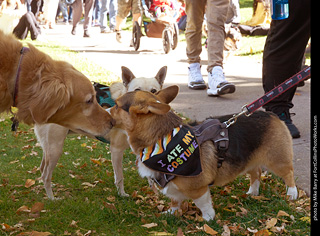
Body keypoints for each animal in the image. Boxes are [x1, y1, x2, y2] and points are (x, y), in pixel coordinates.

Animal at [33, 66, 166, 199]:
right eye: (137, 90)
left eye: (154, 91)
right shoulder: (116, 150)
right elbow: (119, 177)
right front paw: (122, 194)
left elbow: (149, 174)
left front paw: (155, 192)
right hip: (55, 148)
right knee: (45, 175)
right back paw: (52, 198)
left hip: (50, 147)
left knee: (42, 168)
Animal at [110, 86, 298, 221]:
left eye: (117, 105)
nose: (107, 112)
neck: (163, 141)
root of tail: (272, 115)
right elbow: (174, 201)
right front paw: (171, 213)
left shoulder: (198, 187)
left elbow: (203, 204)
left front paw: (208, 219)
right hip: (250, 159)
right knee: (256, 172)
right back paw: (252, 192)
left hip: (277, 160)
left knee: (288, 174)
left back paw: (292, 194)